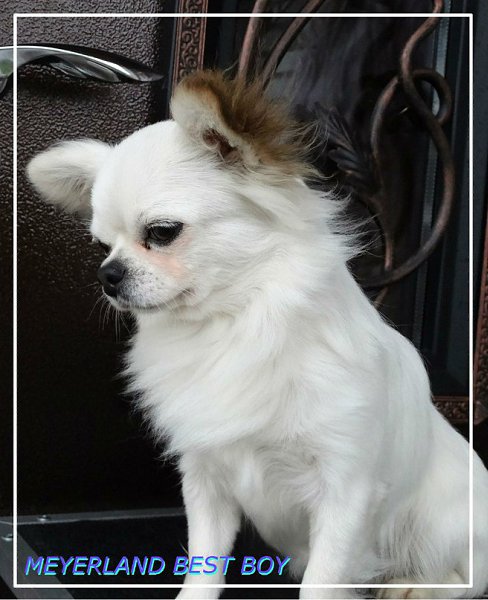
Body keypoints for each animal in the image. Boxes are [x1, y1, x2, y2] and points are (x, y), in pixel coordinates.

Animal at [27, 70, 488, 599]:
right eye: (102, 245)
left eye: (161, 232)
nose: (108, 274)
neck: (234, 325)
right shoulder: (206, 480)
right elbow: (204, 565)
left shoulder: (346, 491)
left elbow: (321, 582)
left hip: (441, 523)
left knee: (467, 576)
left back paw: (412, 586)